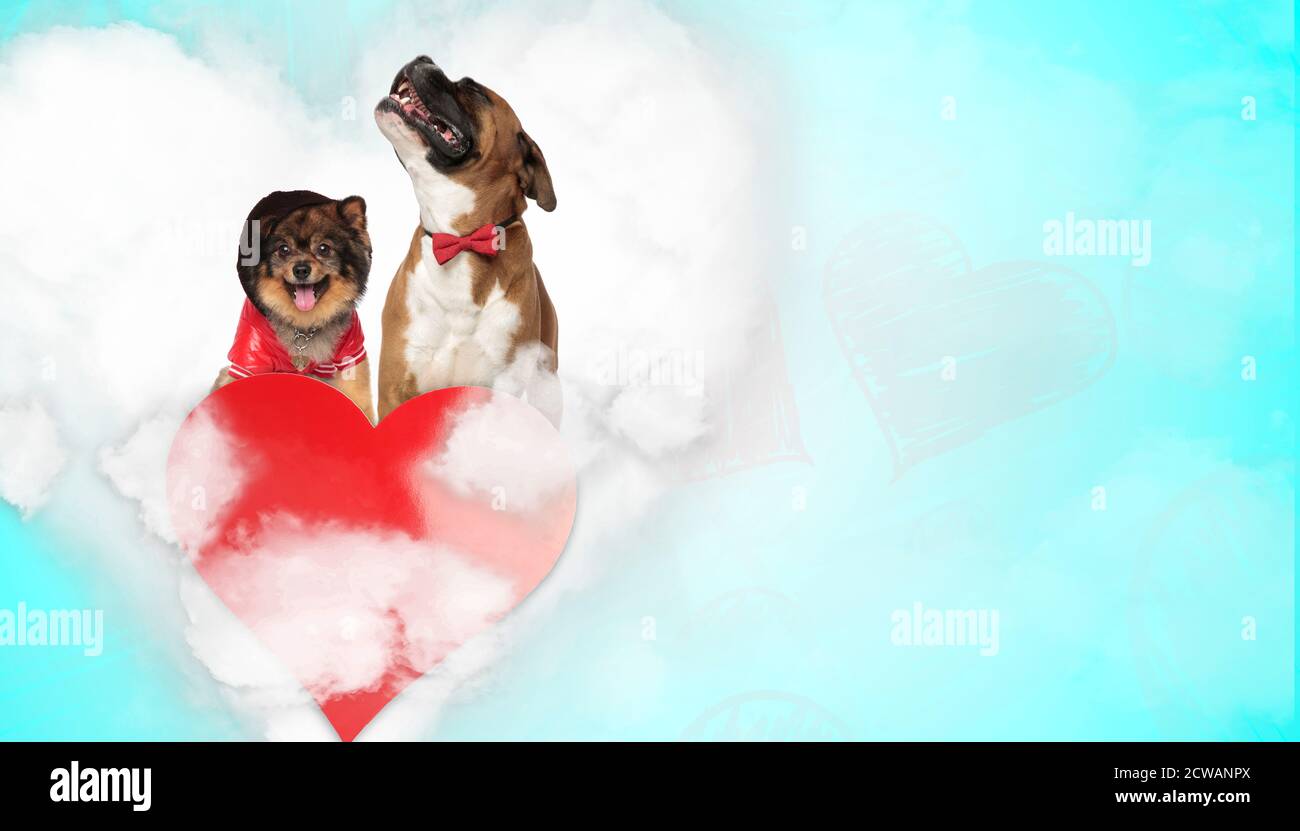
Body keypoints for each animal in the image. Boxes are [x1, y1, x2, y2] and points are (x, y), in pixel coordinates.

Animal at [213, 192, 377, 426]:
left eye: (324, 248)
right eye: (283, 249)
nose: (301, 269)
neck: (304, 326)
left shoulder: (351, 353)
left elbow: (359, 398)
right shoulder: (249, 360)